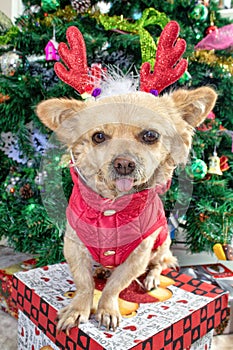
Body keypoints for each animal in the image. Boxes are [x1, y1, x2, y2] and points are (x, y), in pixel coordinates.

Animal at [36, 21, 217, 330]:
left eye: (150, 136)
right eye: (98, 137)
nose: (123, 163)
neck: (112, 206)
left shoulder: (139, 253)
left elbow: (116, 285)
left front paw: (107, 308)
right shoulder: (74, 245)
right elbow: (84, 283)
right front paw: (79, 308)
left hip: (162, 242)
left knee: (160, 263)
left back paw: (152, 278)